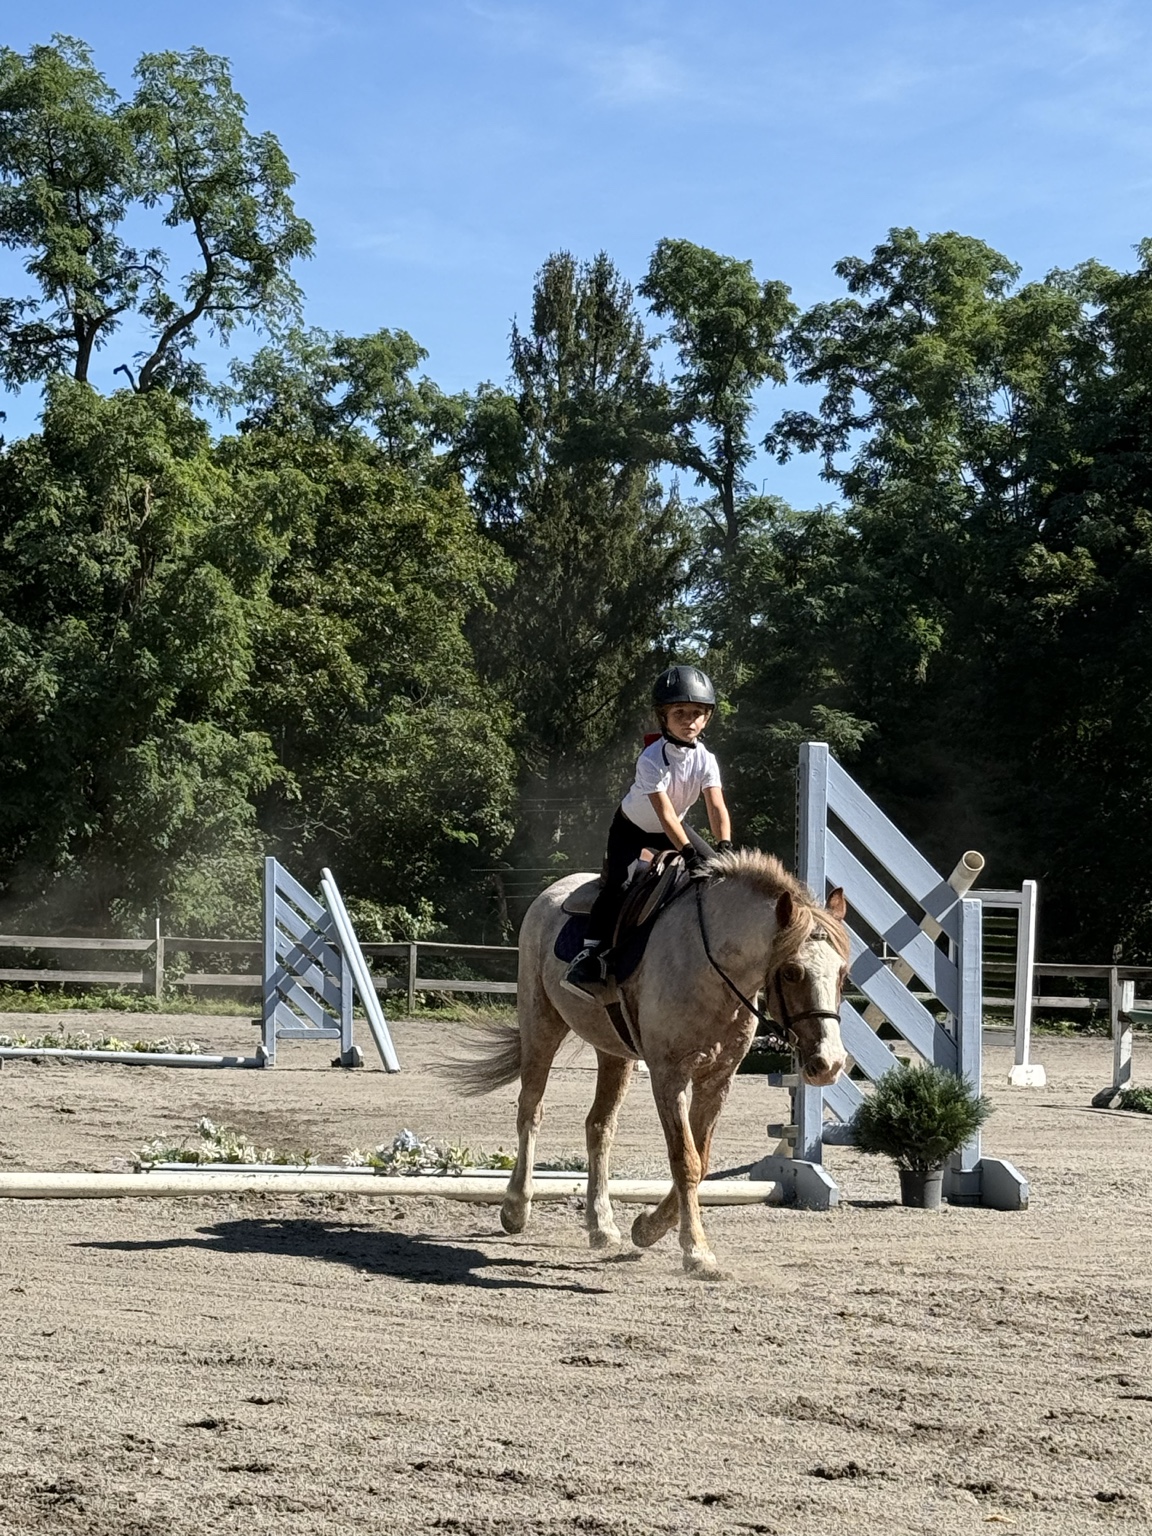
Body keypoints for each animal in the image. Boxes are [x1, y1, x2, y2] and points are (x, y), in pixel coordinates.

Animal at [450, 849, 850, 1279]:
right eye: (792, 972)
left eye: (843, 973)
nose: (830, 1063)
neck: (712, 967)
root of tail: (554, 891)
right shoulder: (669, 1076)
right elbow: (685, 1160)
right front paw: (696, 1252)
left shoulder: (717, 1080)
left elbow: (701, 1162)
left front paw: (647, 1228)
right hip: (541, 1024)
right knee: (531, 1110)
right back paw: (515, 1208)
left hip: (614, 1053)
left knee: (599, 1127)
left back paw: (601, 1225)